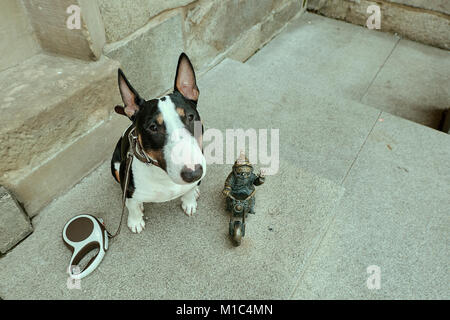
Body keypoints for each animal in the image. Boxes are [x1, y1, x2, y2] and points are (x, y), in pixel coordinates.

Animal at [110, 52, 206, 232]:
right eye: (153, 127)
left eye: (190, 117)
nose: (193, 173)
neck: (164, 176)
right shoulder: (128, 187)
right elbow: (132, 206)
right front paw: (135, 222)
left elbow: (189, 192)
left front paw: (190, 201)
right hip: (116, 166)